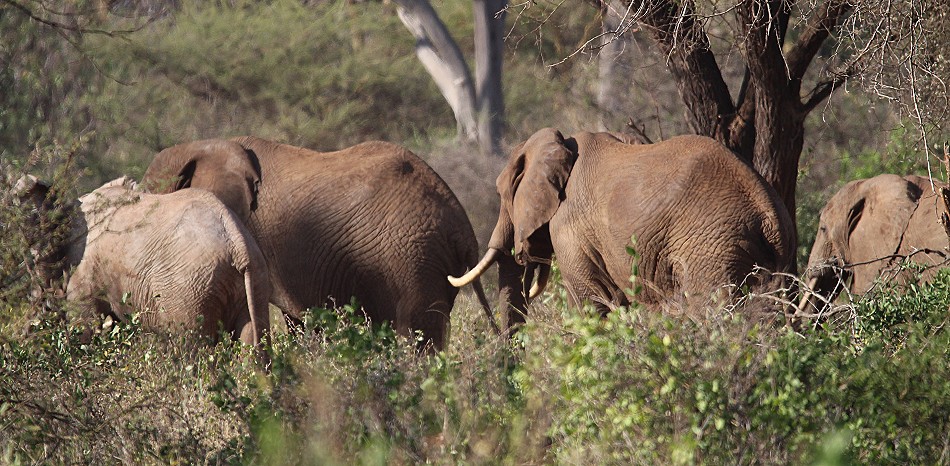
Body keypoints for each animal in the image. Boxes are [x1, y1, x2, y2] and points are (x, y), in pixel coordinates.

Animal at [450, 125, 800, 326]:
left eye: (500, 193)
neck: (561, 144)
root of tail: (767, 209)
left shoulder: (570, 228)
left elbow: (592, 302)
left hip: (713, 249)